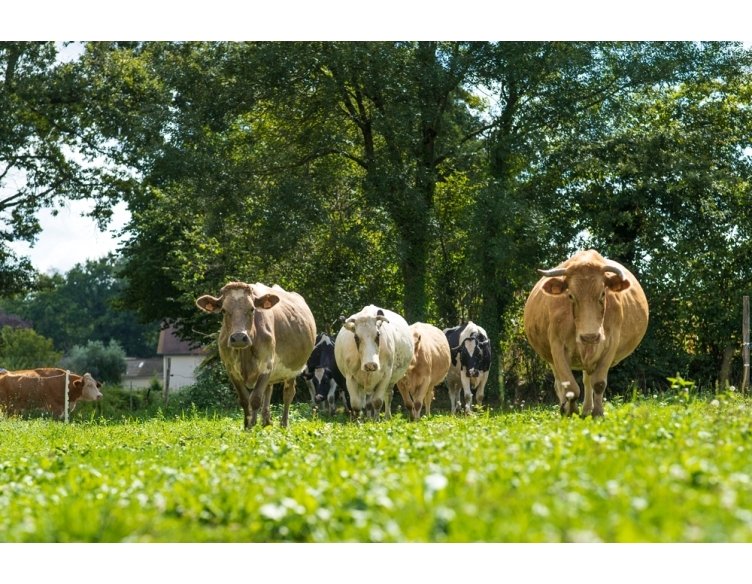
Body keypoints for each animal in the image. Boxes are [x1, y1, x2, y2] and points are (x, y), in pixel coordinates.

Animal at [195, 280, 316, 426]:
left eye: (252, 309)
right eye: (223, 310)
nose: (239, 337)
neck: (245, 354)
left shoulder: (266, 365)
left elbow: (255, 399)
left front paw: (252, 427)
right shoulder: (231, 370)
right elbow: (245, 400)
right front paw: (247, 426)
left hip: (292, 368)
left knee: (288, 393)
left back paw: (283, 424)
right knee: (268, 390)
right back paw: (265, 421)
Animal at [524, 249, 652, 418]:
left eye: (603, 294)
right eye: (570, 295)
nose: (589, 336)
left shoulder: (611, 344)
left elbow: (598, 383)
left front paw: (597, 412)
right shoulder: (557, 347)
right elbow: (571, 387)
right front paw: (571, 411)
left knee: (587, 380)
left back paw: (586, 409)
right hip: (551, 357)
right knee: (559, 383)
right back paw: (565, 407)